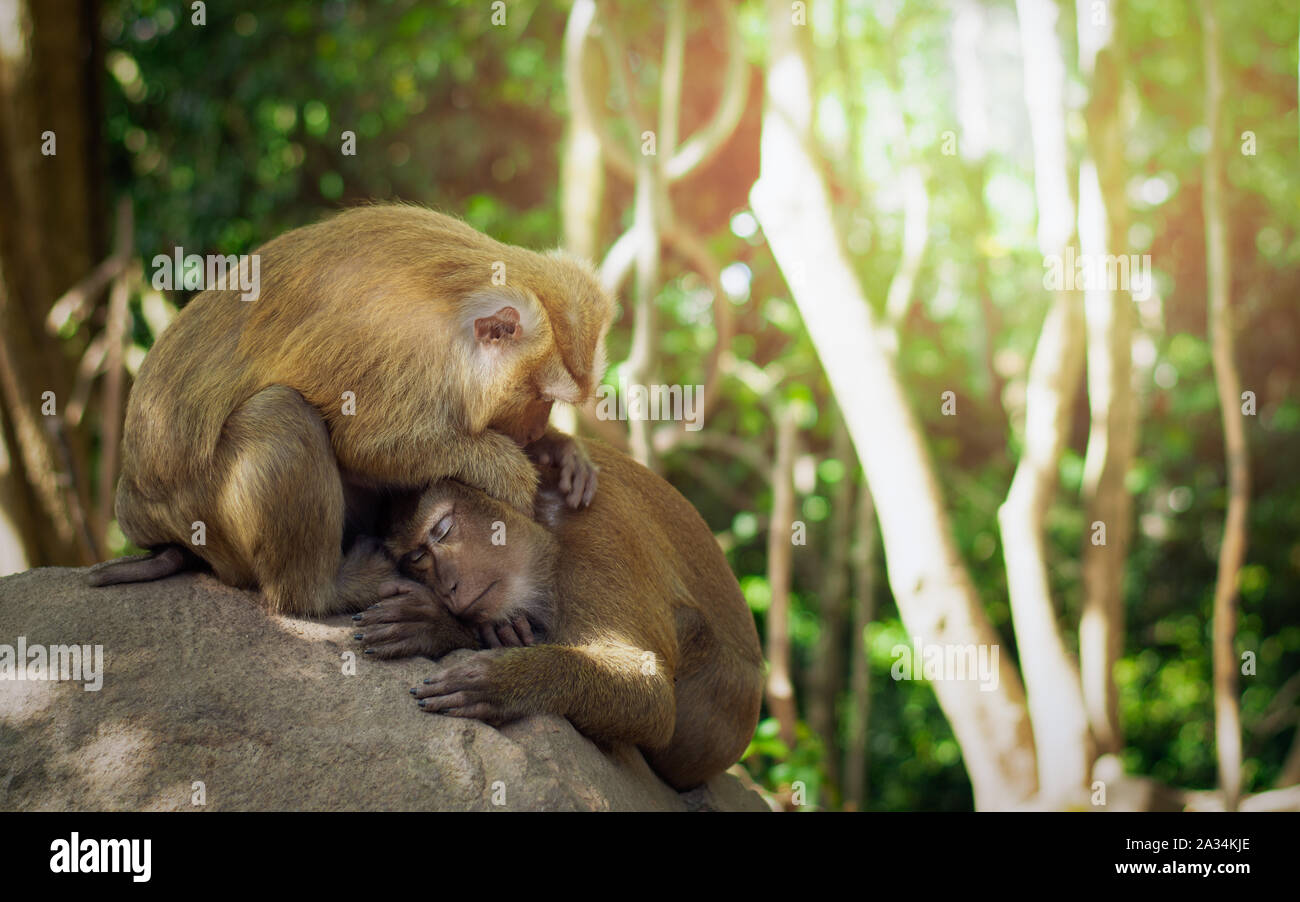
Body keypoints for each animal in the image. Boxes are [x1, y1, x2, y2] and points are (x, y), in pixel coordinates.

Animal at [94, 204, 611, 616]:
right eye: (541, 397)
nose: (534, 431)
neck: (451, 313)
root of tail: (134, 502)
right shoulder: (390, 347)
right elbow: (365, 446)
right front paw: (510, 471)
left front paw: (559, 451)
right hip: (199, 511)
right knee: (281, 415)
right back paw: (322, 592)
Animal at [351, 441, 764, 795]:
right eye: (416, 559)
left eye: (443, 530)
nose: (449, 587)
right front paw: (462, 628)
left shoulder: (597, 536)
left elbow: (652, 693)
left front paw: (504, 679)